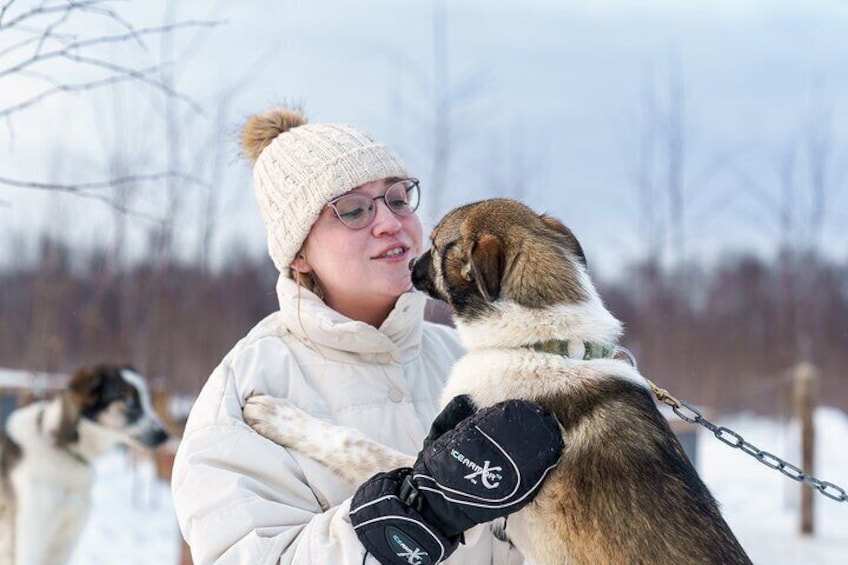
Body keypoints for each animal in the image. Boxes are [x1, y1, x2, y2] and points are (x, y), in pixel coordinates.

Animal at [0, 364, 169, 564]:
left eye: (148, 400)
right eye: (129, 400)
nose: (165, 435)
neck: (62, 448)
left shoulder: (65, 542)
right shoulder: (31, 540)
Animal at [243, 199, 748, 564]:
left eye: (435, 244)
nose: (408, 265)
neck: (543, 343)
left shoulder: (432, 457)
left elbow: (353, 443)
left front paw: (276, 415)